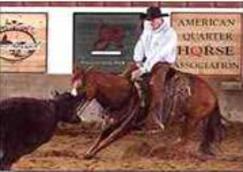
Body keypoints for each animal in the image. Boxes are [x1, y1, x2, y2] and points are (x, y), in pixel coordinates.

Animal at [71, 63, 225, 159]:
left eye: (81, 87)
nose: (75, 113)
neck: (124, 96)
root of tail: (212, 93)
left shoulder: (125, 127)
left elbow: (108, 140)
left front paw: (90, 154)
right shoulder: (111, 123)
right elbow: (100, 138)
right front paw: (88, 152)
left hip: (192, 119)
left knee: (182, 140)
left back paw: (159, 150)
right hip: (195, 119)